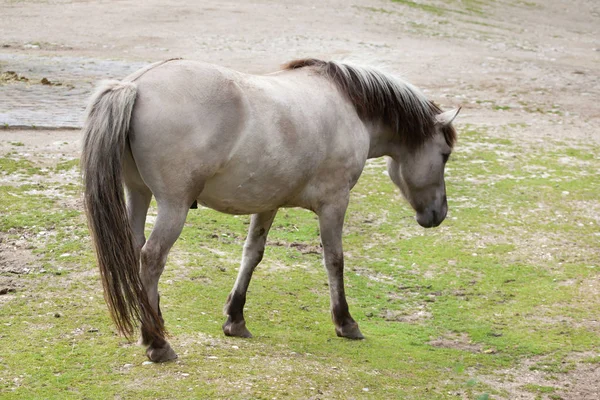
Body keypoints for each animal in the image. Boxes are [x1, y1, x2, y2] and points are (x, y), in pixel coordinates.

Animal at [82, 57, 460, 362]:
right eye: (444, 154)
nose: (438, 214)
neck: (350, 108)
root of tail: (136, 85)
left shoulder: (267, 204)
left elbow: (252, 254)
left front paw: (235, 319)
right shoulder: (334, 203)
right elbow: (334, 259)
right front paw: (345, 322)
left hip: (138, 193)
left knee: (135, 251)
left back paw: (154, 323)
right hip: (173, 208)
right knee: (151, 259)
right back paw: (157, 342)